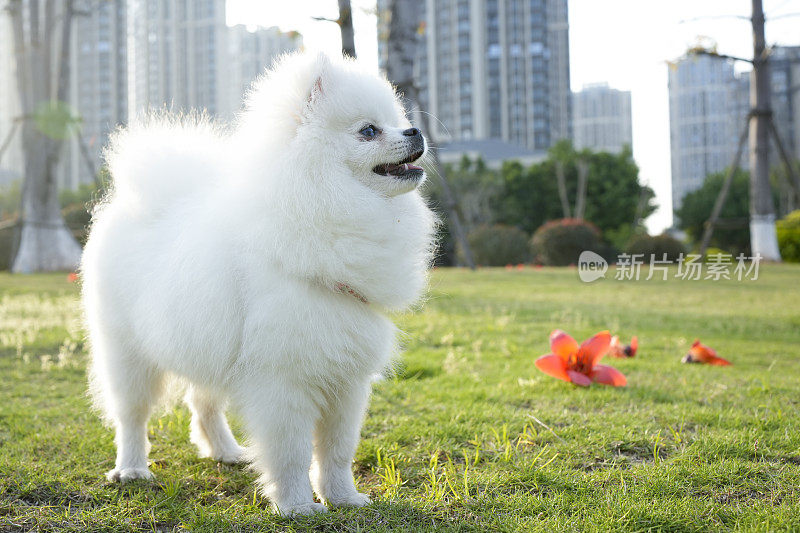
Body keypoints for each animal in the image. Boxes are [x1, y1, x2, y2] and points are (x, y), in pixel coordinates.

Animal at [81, 52, 438, 512]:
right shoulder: (283, 381)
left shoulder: (346, 379)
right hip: (127, 354)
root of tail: (137, 200)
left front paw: (344, 498)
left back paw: (226, 452)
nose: (415, 131)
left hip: (203, 344)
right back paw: (132, 469)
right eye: (369, 130)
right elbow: (292, 452)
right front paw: (298, 506)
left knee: (203, 403)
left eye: (397, 122)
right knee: (132, 416)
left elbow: (337, 451)